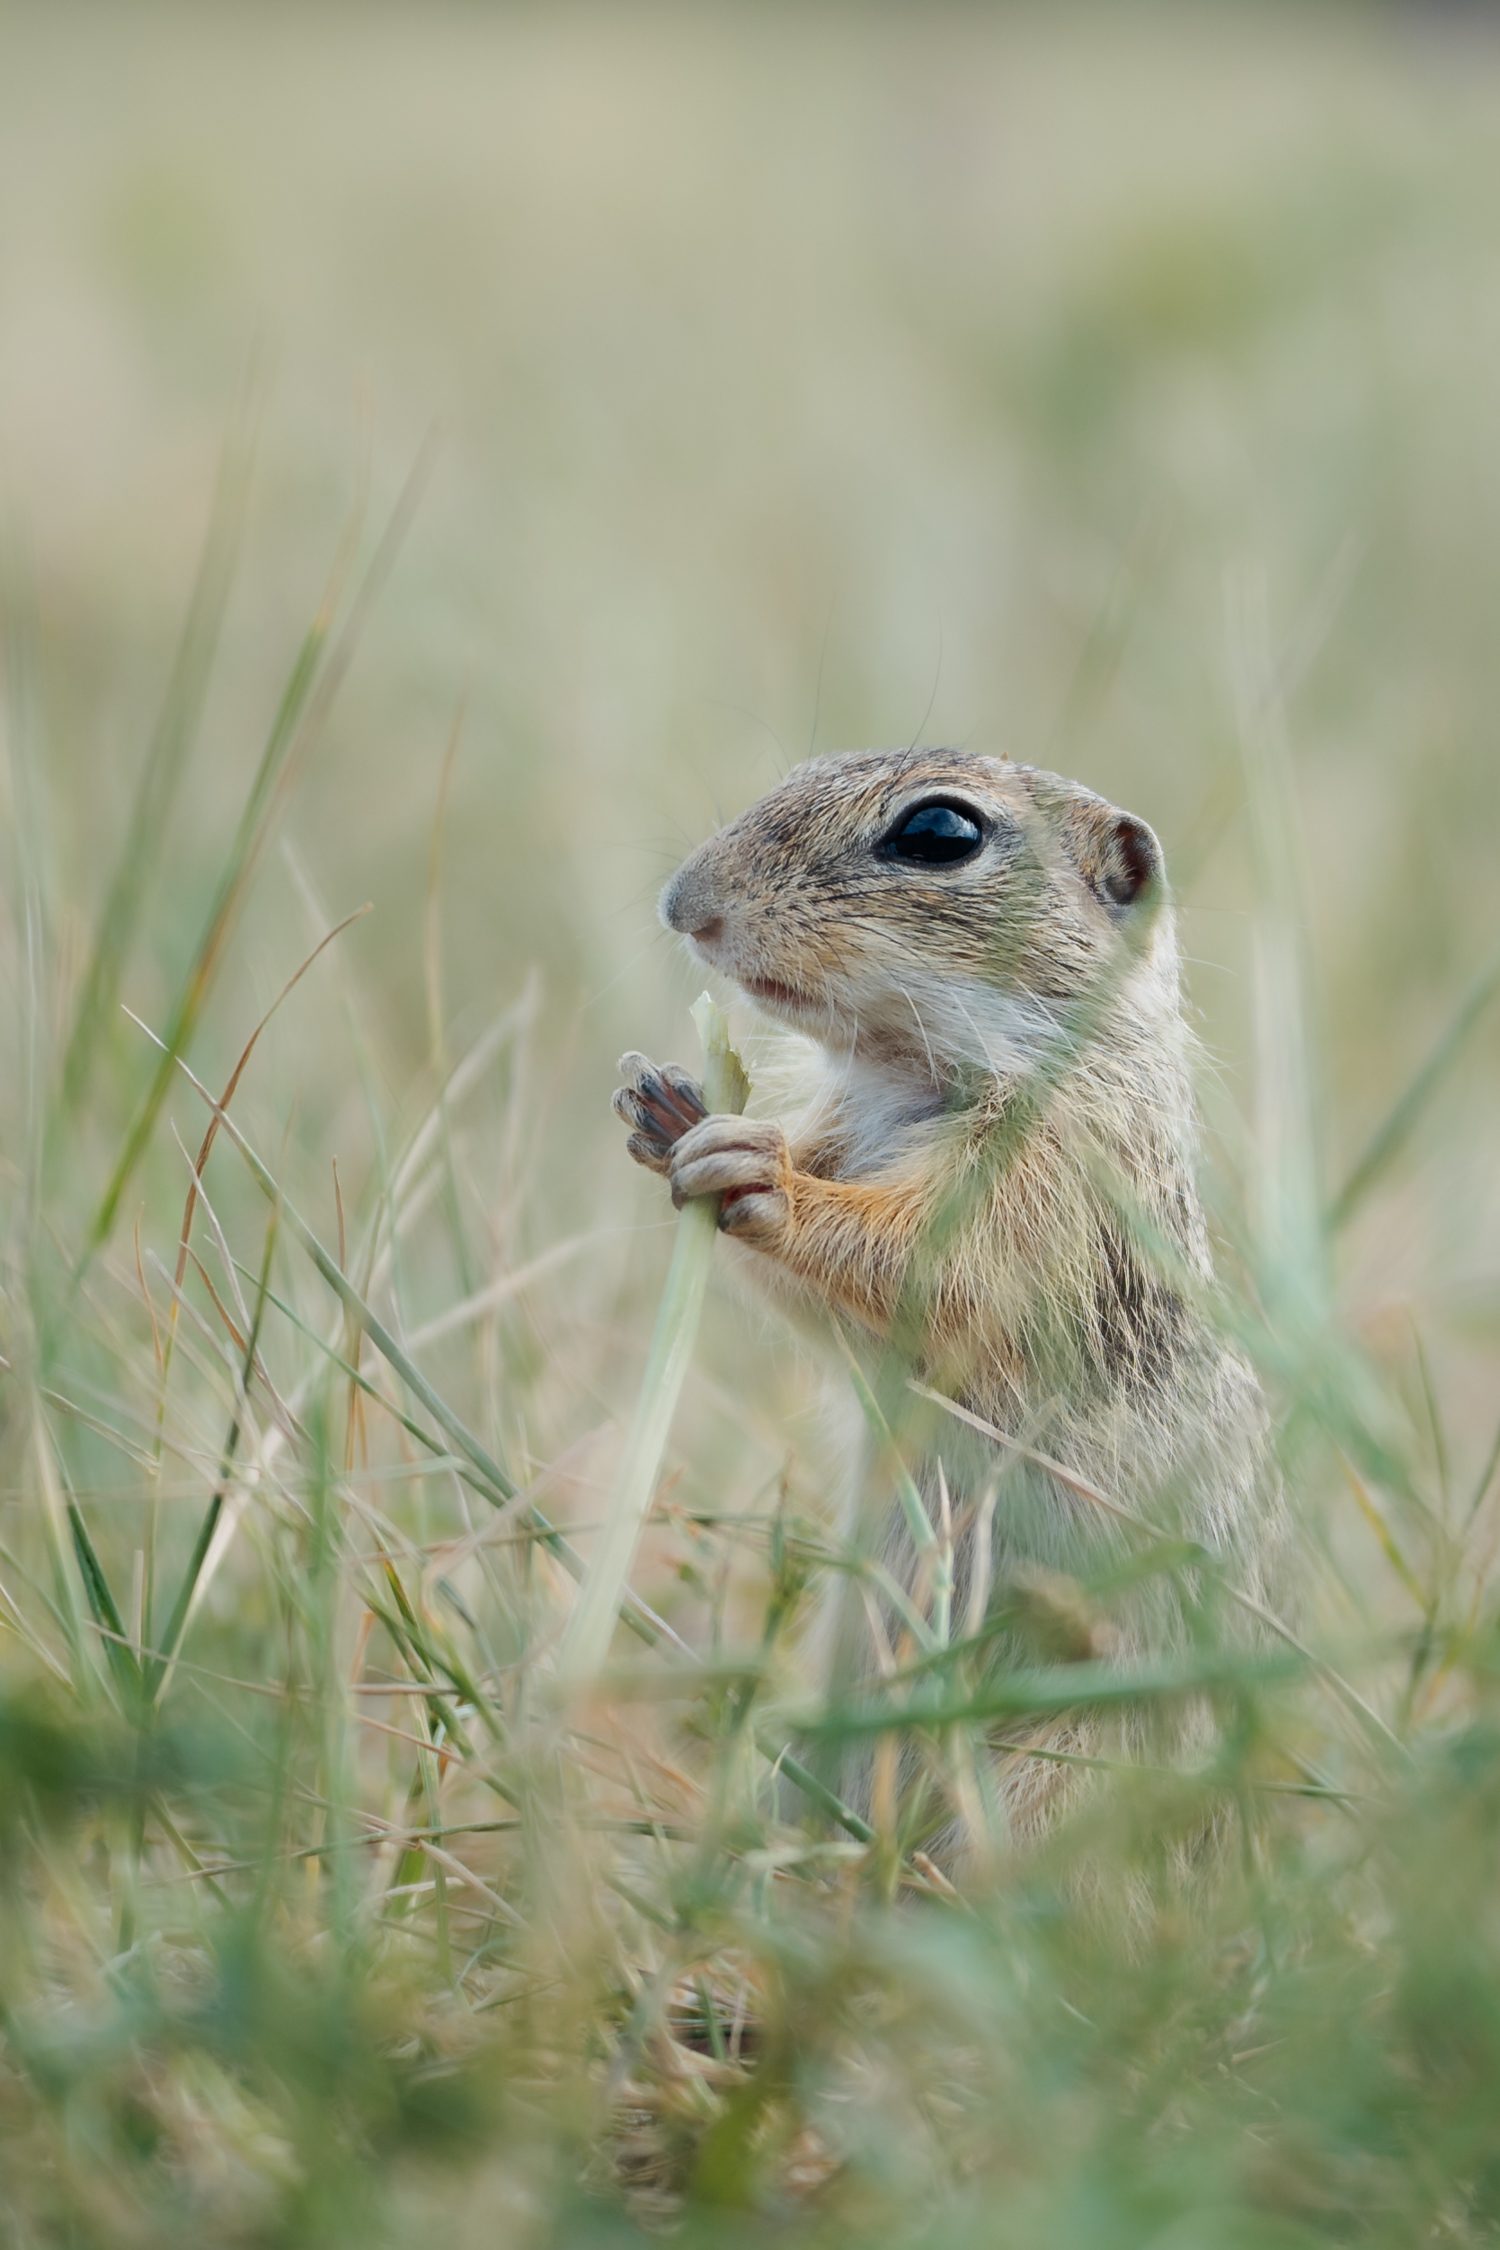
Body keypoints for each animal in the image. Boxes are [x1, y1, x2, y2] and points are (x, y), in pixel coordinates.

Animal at [613, 748, 1282, 1855]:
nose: (683, 906)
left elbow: (928, 1262)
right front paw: (664, 1109)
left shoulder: (1048, 1178)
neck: (911, 1074)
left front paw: (754, 1168)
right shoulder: (849, 1132)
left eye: (939, 833)